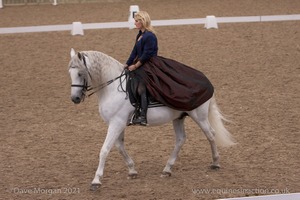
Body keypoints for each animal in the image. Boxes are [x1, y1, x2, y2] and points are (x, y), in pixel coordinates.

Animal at [68, 48, 234, 191]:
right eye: (70, 73)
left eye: (81, 73)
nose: (75, 99)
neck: (112, 87)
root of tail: (206, 80)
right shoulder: (117, 123)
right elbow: (120, 147)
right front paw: (132, 170)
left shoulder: (116, 123)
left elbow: (104, 150)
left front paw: (96, 181)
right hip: (179, 117)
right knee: (181, 139)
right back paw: (167, 169)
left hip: (199, 116)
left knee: (210, 134)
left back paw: (215, 163)